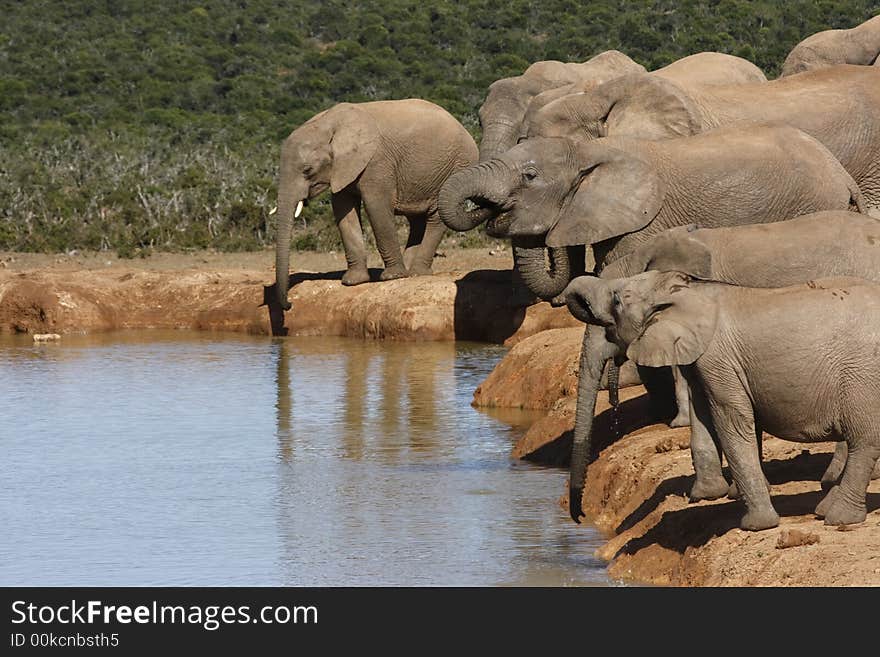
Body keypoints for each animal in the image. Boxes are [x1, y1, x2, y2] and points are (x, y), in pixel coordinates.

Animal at [276, 100, 482, 310]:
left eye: (307, 170)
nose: (289, 304)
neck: (329, 123)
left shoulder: (377, 162)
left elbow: (376, 206)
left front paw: (392, 277)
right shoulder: (343, 168)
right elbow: (344, 211)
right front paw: (353, 281)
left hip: (456, 166)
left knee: (437, 217)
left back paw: (416, 273)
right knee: (416, 220)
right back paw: (409, 272)